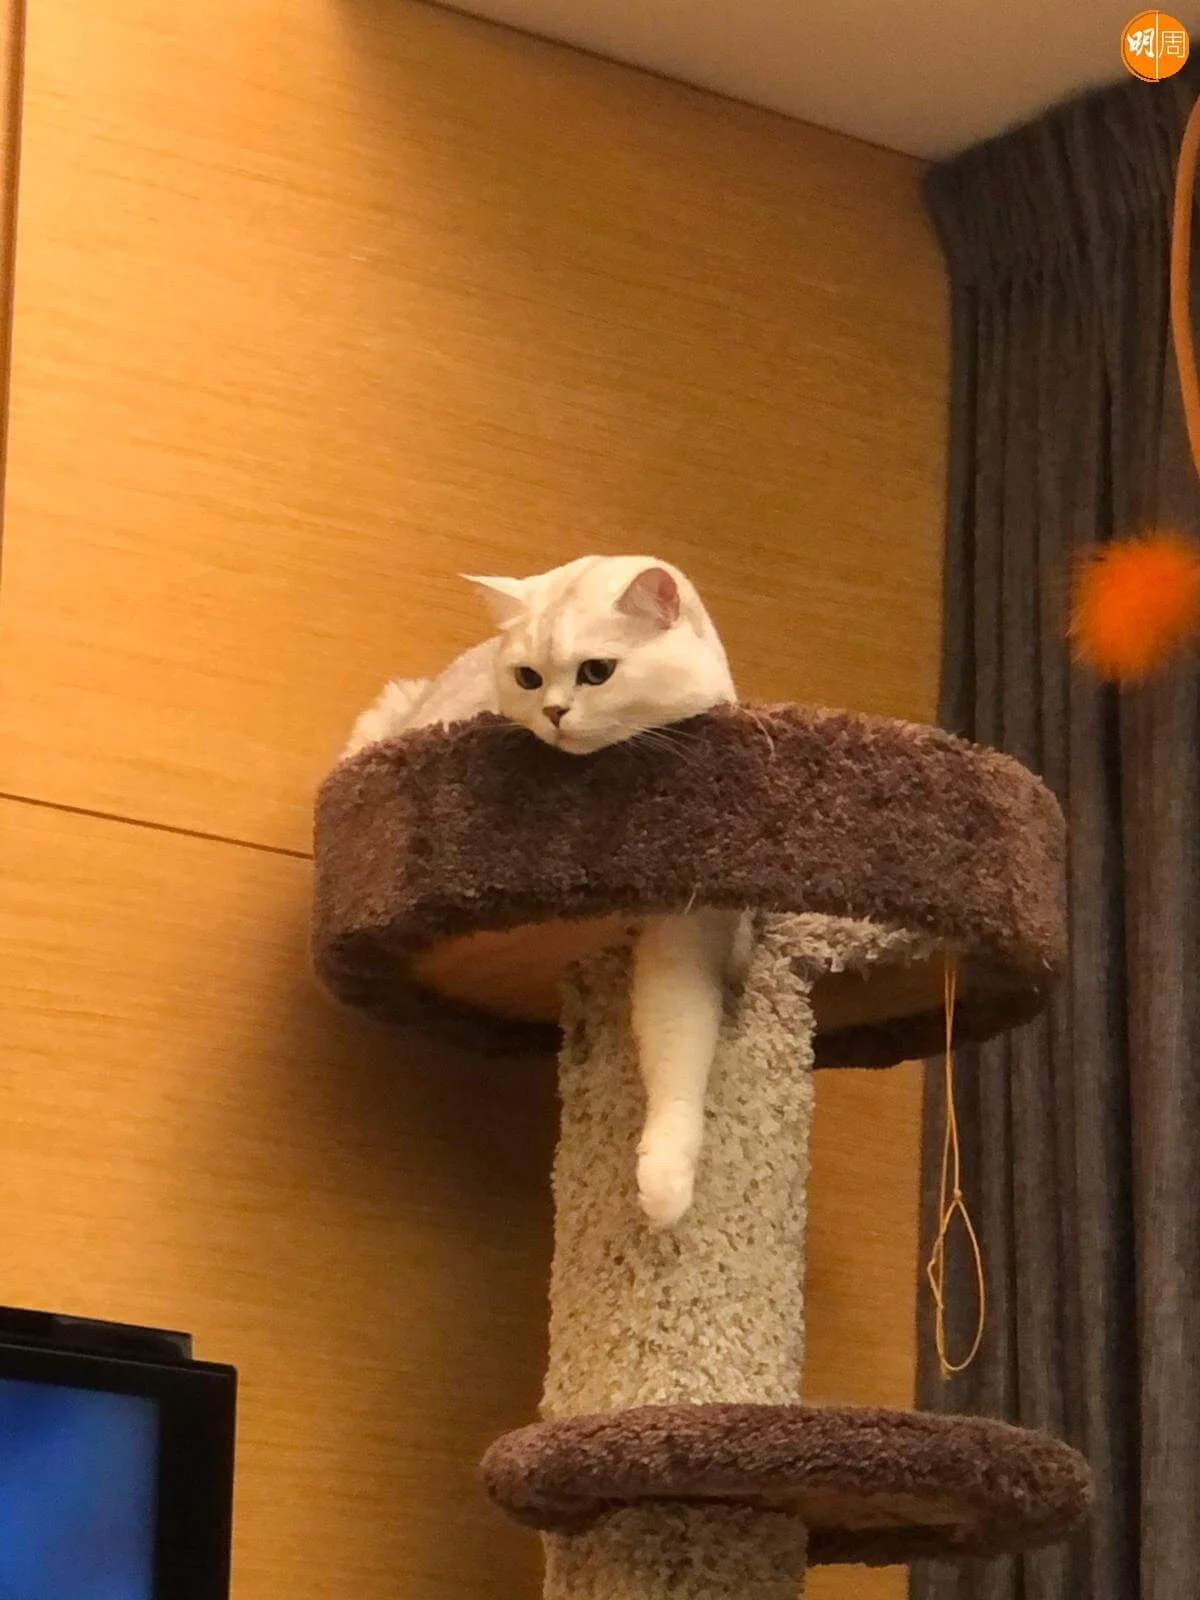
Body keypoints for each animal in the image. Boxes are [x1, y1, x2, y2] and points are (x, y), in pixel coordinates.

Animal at [344, 556, 750, 1228]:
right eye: (528, 678)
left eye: (596, 671)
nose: (555, 713)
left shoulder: (683, 934)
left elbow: (680, 1045)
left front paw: (664, 1190)